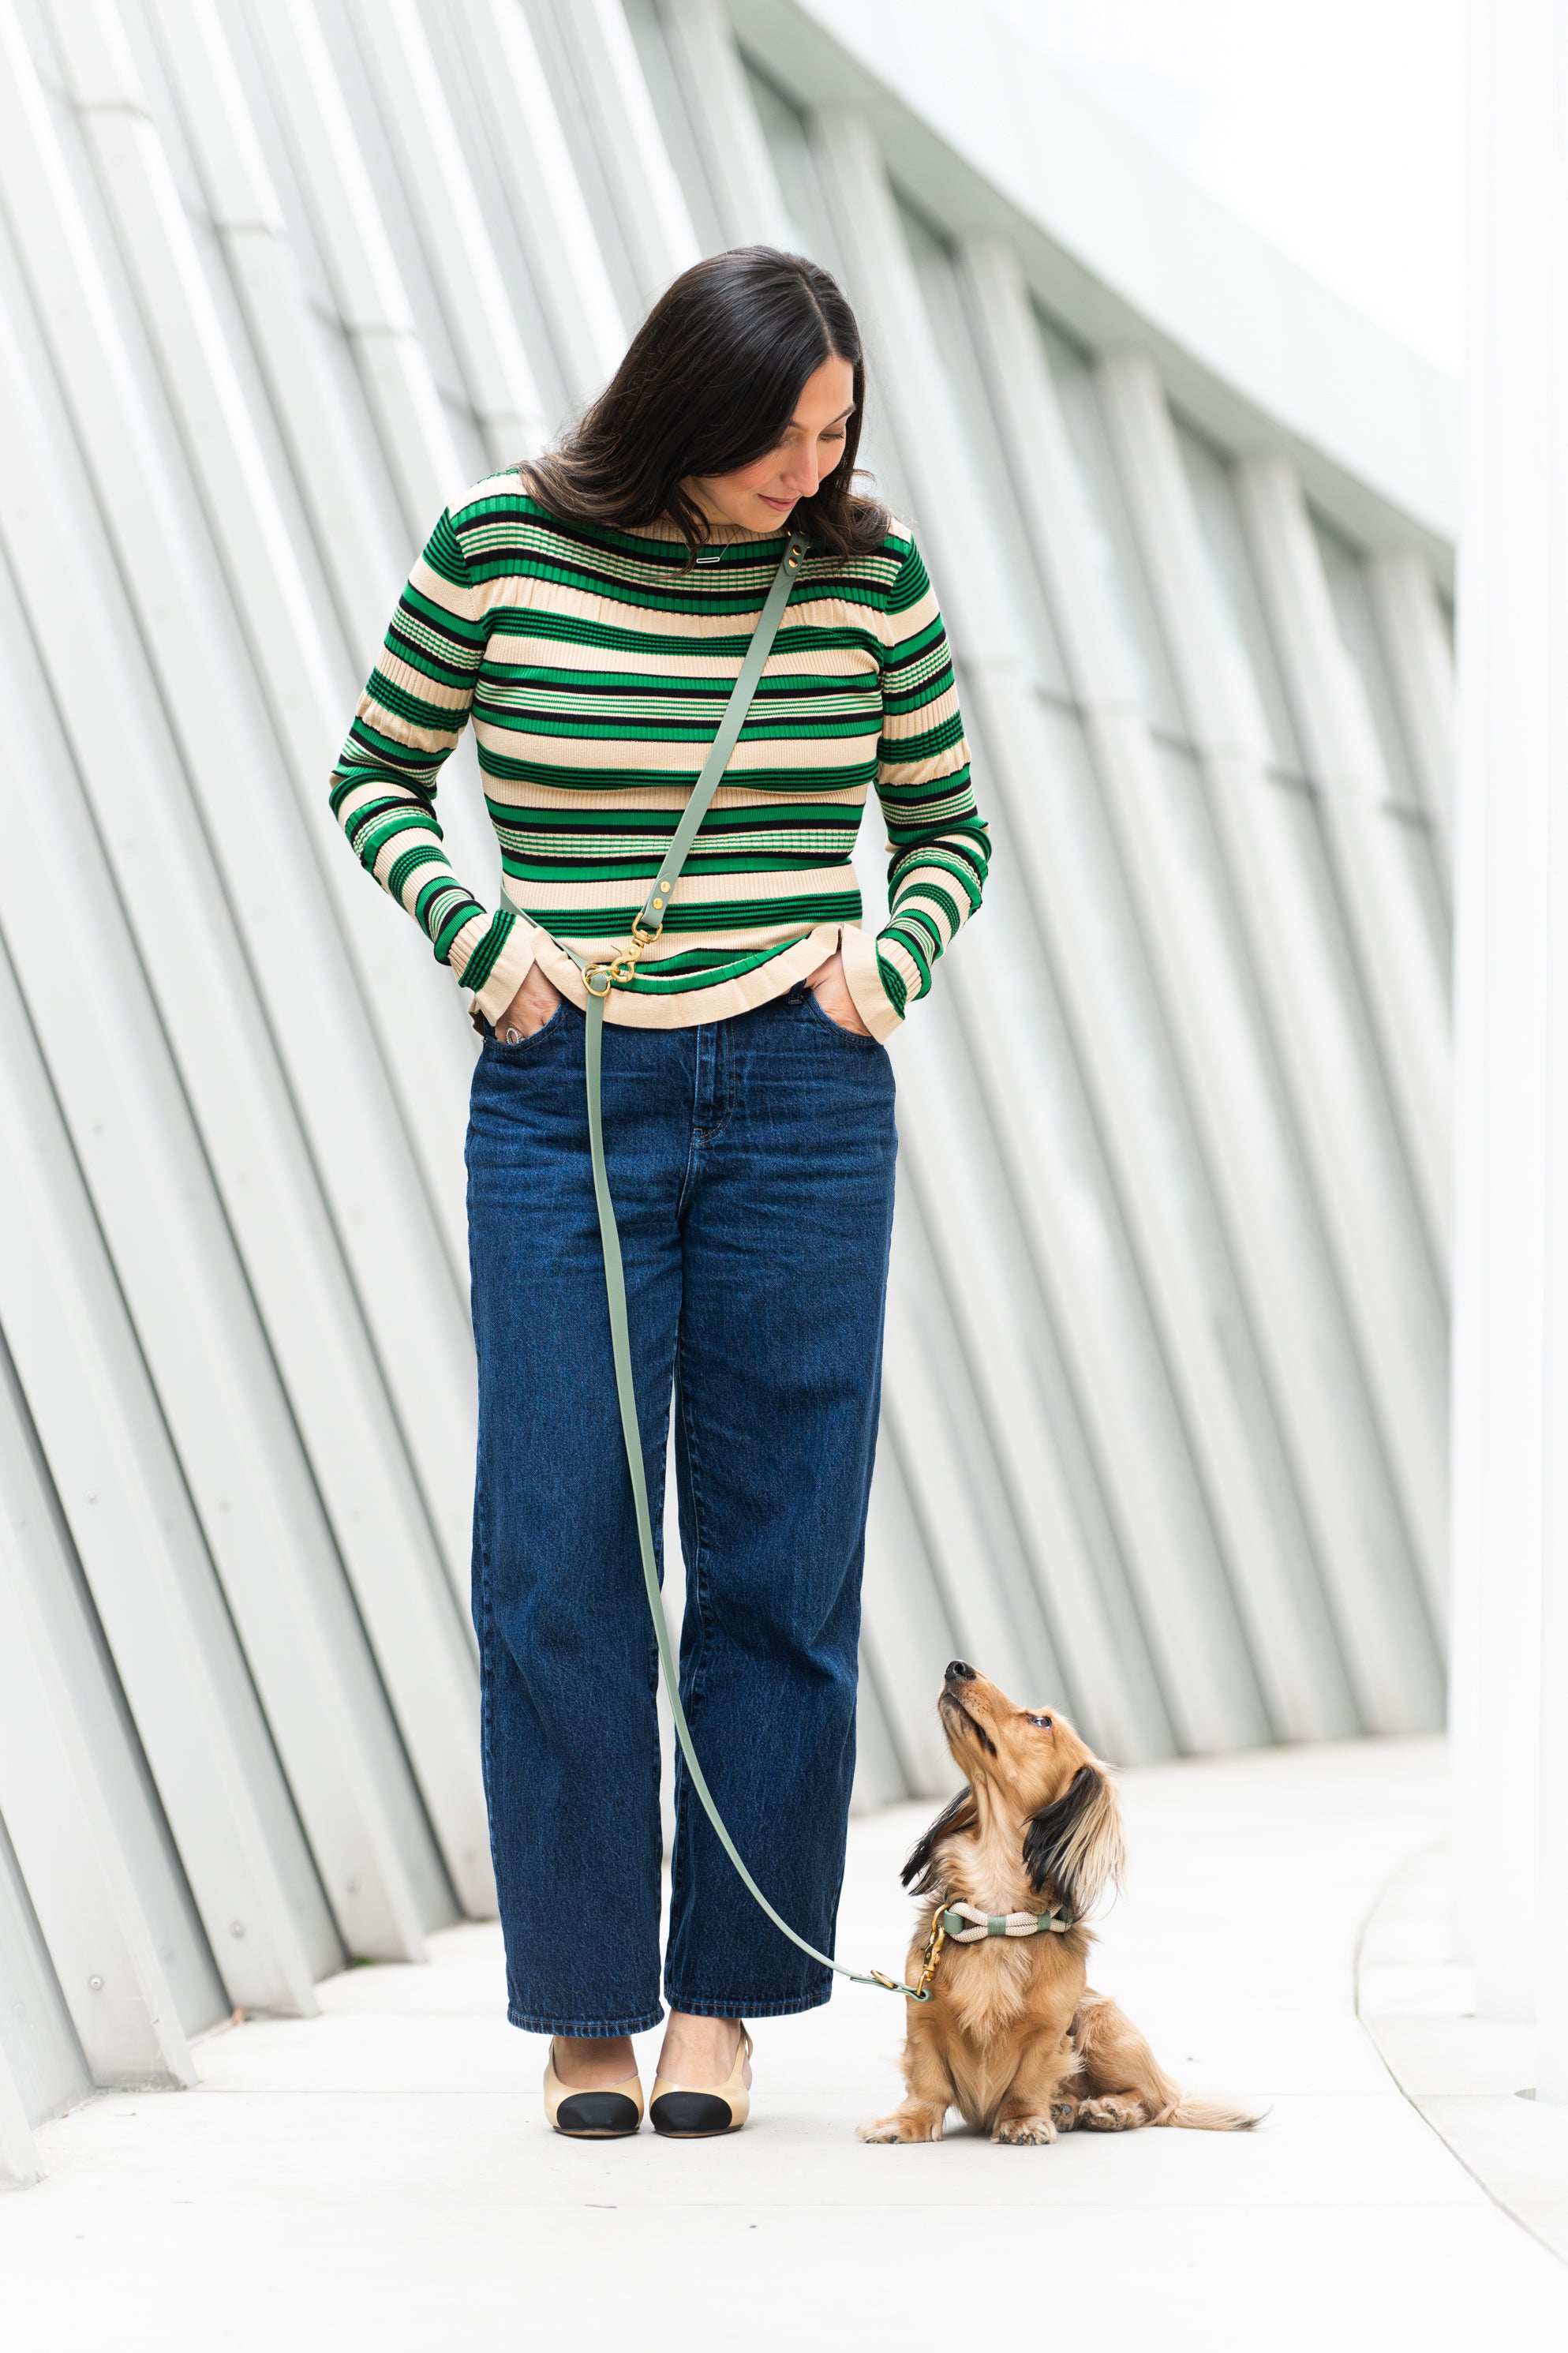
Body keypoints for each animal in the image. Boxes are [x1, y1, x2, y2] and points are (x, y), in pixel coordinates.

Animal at [858, 1662, 1262, 2145]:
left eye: (1041, 1722)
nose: (957, 1667)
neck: (997, 1916)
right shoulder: (923, 2015)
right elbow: (926, 2080)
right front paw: (907, 2123)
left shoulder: (1049, 2029)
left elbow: (1030, 2078)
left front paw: (1024, 2120)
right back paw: (1070, 2106)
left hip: (1100, 2019)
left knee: (1155, 2102)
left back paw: (1105, 2109)